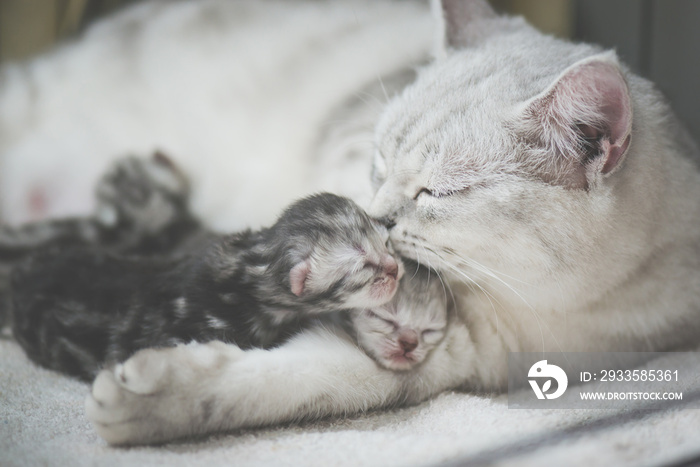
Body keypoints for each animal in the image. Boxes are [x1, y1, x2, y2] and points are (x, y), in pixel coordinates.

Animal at [1, 0, 700, 446]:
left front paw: (145, 402)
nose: (379, 218)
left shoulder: (445, 354)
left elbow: (304, 384)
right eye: (378, 160)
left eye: (436, 192)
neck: (545, 308)